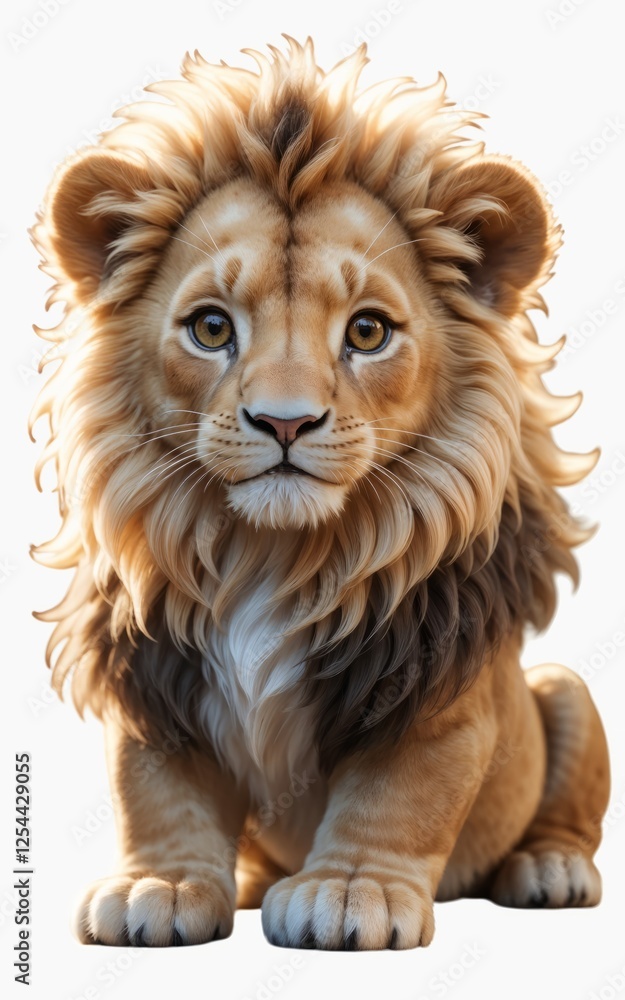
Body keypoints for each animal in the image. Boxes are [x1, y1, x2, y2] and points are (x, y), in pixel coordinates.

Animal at [30, 36, 610, 950]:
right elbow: (154, 790)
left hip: (563, 692)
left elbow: (398, 793)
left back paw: (547, 868)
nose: (284, 422)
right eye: (211, 328)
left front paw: (349, 891)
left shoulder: (430, 686)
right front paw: (163, 883)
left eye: (366, 332)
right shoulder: (154, 679)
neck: (271, 553)